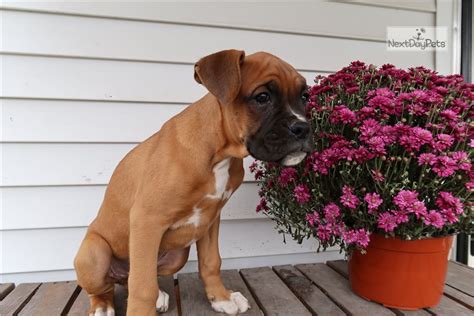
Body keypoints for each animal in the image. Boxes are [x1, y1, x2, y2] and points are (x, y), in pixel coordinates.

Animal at [74, 49, 312, 316]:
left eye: (304, 96)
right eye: (262, 97)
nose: (303, 128)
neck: (219, 153)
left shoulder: (210, 219)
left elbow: (211, 262)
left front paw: (221, 298)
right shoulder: (147, 220)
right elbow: (142, 287)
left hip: (176, 255)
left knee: (134, 276)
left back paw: (159, 295)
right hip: (94, 254)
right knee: (109, 285)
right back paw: (103, 306)